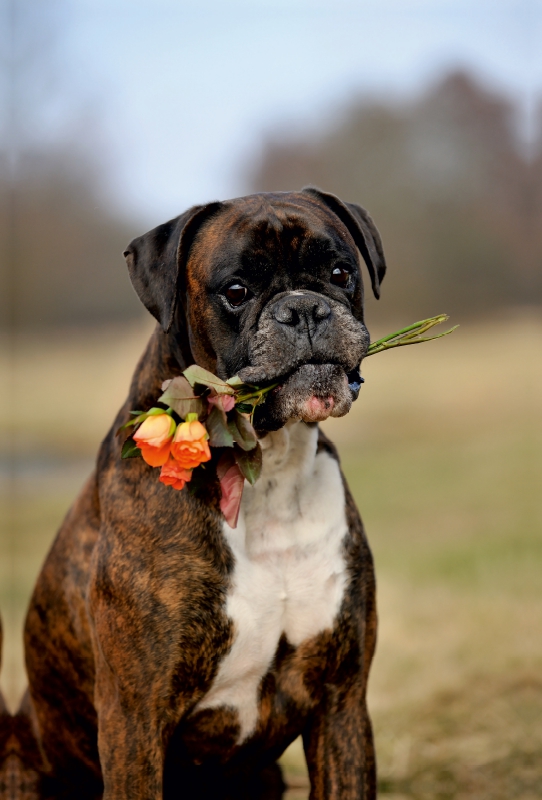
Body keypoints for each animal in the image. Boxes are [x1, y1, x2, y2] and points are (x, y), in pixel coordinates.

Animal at [21, 189, 386, 800]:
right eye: (236, 291)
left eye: (340, 272)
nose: (304, 309)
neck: (266, 467)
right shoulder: (135, 721)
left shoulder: (341, 702)